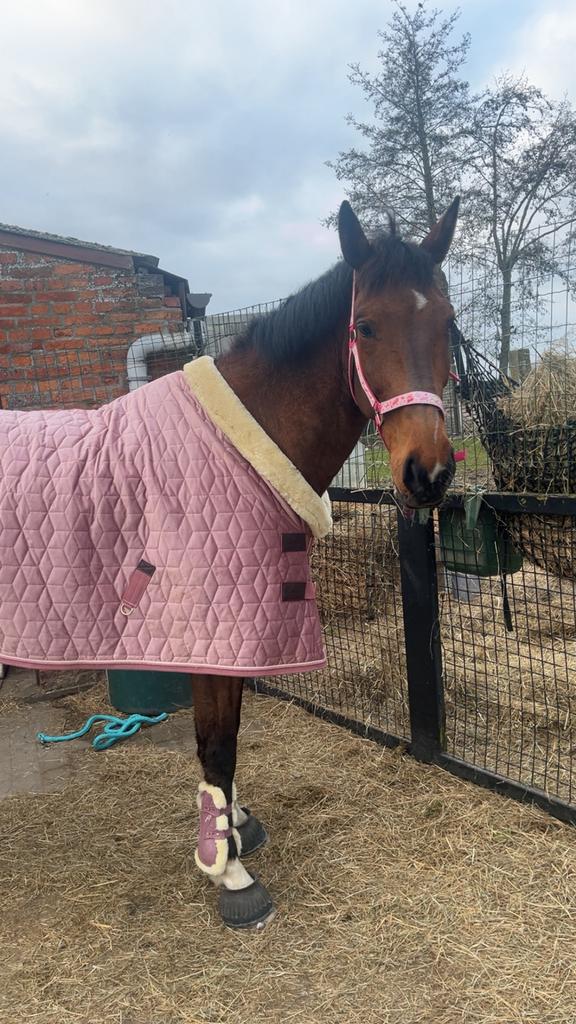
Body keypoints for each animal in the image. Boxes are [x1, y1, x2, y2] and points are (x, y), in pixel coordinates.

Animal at [0, 198, 459, 929]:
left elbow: (233, 728)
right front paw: (228, 869)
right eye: (365, 325)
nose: (429, 474)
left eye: (446, 322)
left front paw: (237, 824)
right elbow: (216, 739)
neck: (238, 448)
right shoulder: (211, 629)